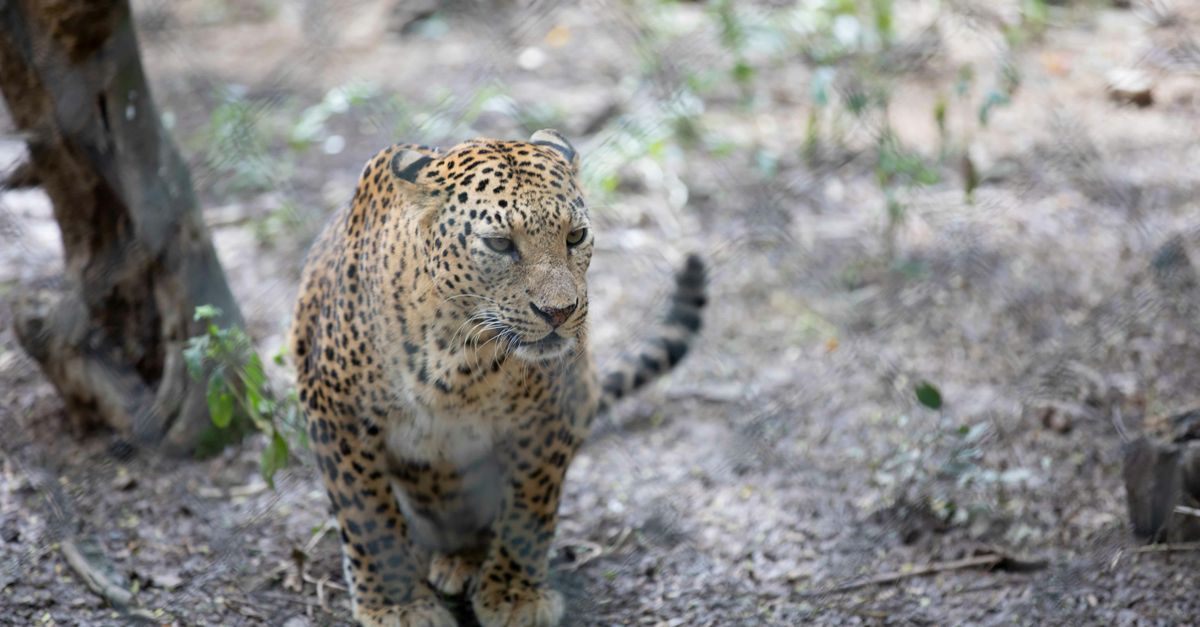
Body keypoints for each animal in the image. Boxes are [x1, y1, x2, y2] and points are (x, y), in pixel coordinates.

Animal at [289, 129, 706, 626]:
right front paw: (397, 604)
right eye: (500, 245)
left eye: (576, 236)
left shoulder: (551, 416)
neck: (456, 356)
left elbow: (529, 507)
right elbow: (367, 515)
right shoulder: (338, 415)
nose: (559, 312)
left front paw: (514, 595)